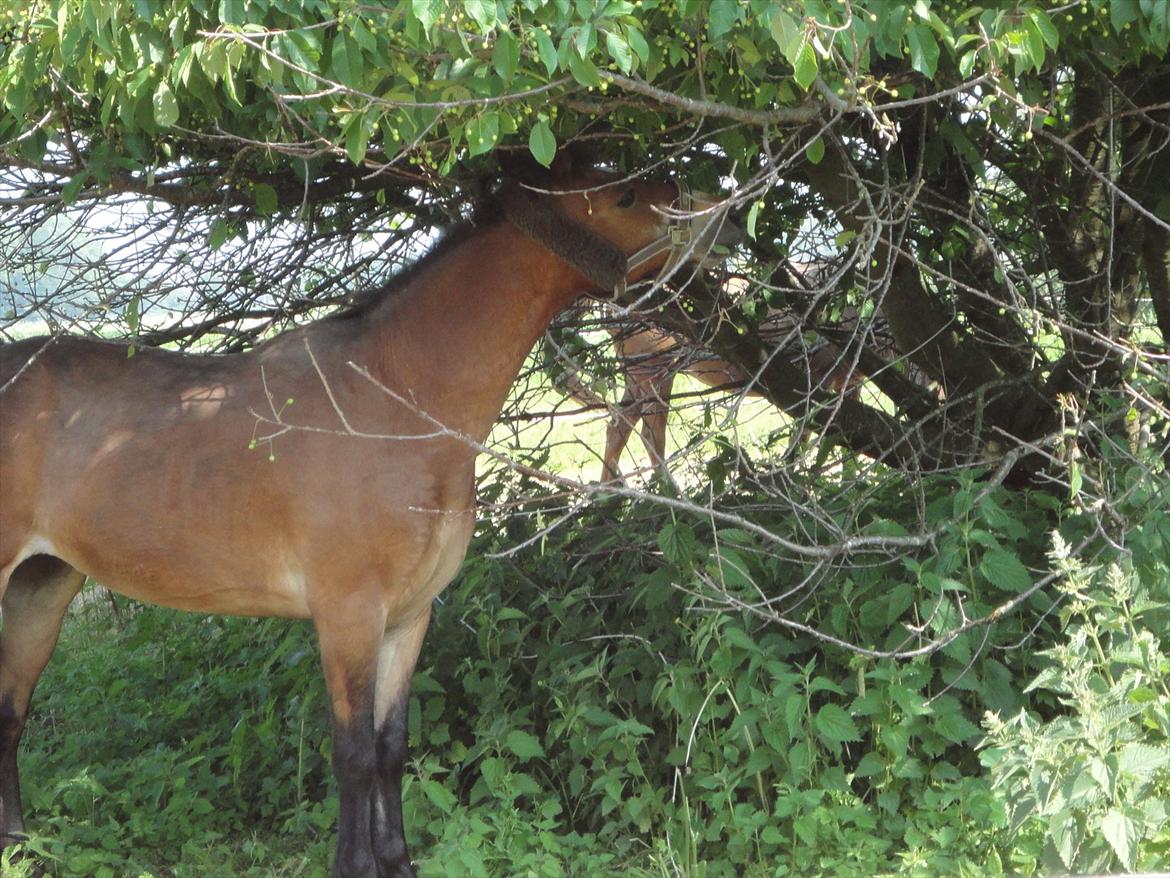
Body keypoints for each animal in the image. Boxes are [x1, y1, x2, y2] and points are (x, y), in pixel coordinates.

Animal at [0, 158, 730, 878]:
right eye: (626, 195)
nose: (714, 214)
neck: (393, 397)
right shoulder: (348, 614)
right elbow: (351, 754)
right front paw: (355, 865)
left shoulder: (408, 617)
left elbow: (389, 747)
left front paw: (397, 862)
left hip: (41, 586)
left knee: (9, 712)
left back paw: (17, 845)